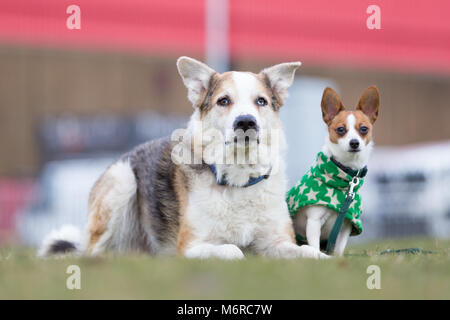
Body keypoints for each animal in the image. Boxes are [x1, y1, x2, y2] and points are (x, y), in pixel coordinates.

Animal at [39, 56, 326, 258]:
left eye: (261, 101)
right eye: (224, 101)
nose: (246, 122)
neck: (238, 178)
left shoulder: (278, 241)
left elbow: (309, 252)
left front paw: (323, 258)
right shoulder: (191, 247)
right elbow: (233, 250)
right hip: (122, 181)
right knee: (93, 254)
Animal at [288, 86, 380, 256]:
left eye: (364, 129)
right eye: (341, 129)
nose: (354, 143)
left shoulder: (345, 226)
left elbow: (338, 250)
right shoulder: (314, 222)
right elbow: (314, 246)